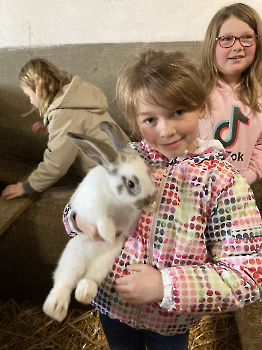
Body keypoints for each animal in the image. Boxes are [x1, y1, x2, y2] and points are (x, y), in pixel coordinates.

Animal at [43, 121, 157, 322]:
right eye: (130, 184)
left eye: (149, 175)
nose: (150, 200)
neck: (116, 197)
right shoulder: (92, 206)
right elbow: (102, 219)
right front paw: (109, 234)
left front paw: (152, 206)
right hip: (73, 257)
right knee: (63, 283)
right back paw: (55, 309)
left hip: (104, 262)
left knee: (89, 278)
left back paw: (84, 293)